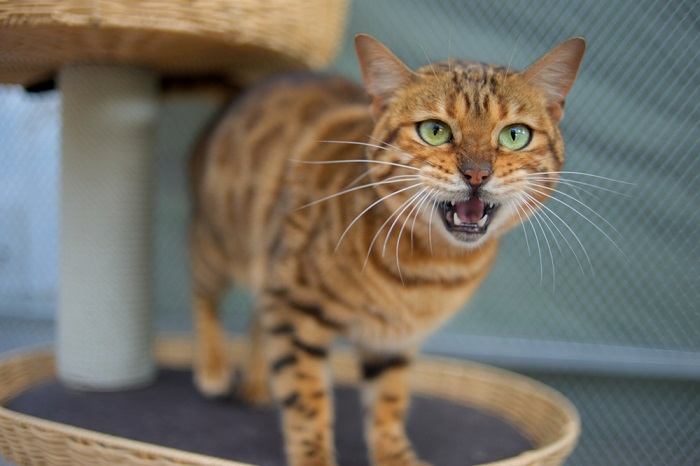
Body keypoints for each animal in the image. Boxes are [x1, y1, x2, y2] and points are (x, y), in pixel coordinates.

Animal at [187, 33, 584, 466]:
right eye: (434, 131)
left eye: (515, 135)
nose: (477, 173)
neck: (427, 269)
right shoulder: (293, 305)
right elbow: (306, 398)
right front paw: (314, 455)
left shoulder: (391, 339)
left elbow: (387, 402)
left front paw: (395, 454)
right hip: (219, 242)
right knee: (205, 293)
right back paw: (213, 367)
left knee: (257, 318)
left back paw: (257, 383)